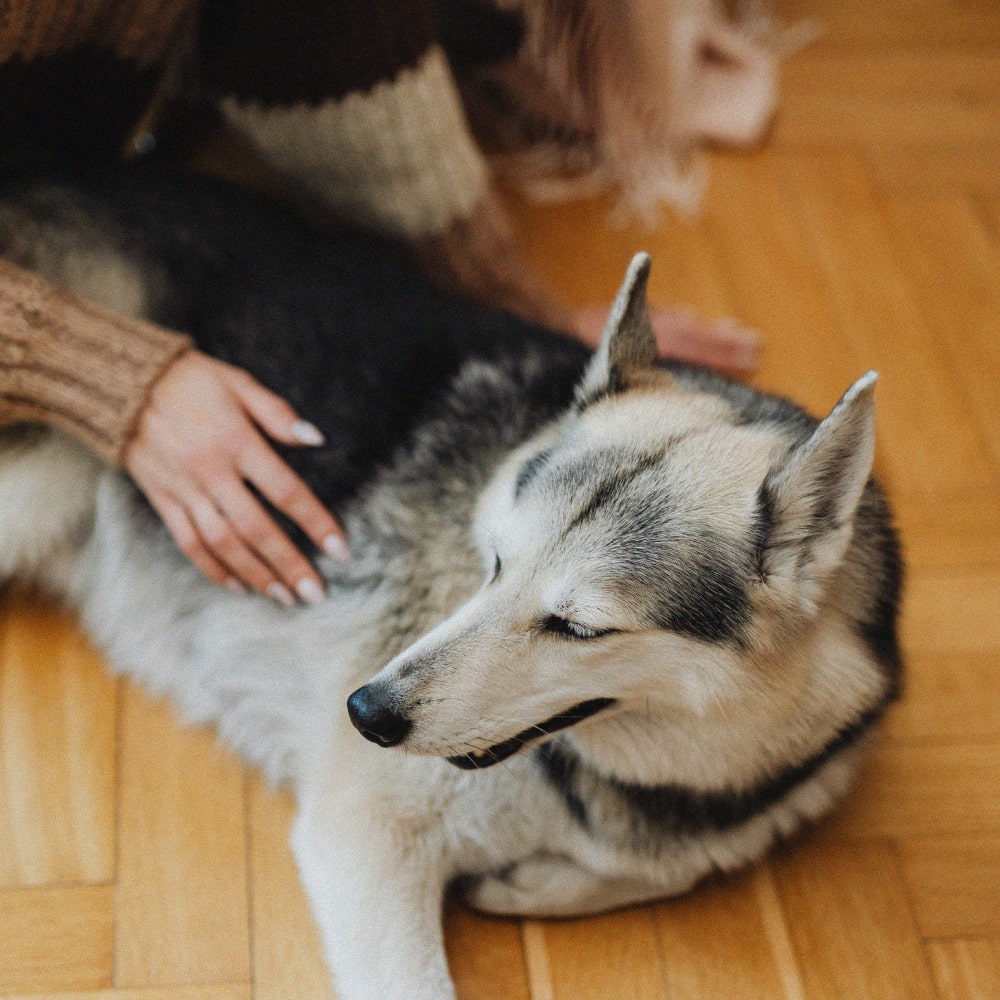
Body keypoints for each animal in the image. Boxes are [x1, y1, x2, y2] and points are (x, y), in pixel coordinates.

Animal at [0, 170, 904, 1000]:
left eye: (579, 628)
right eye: (495, 562)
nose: (366, 711)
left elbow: (674, 866)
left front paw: (543, 880)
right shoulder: (364, 838)